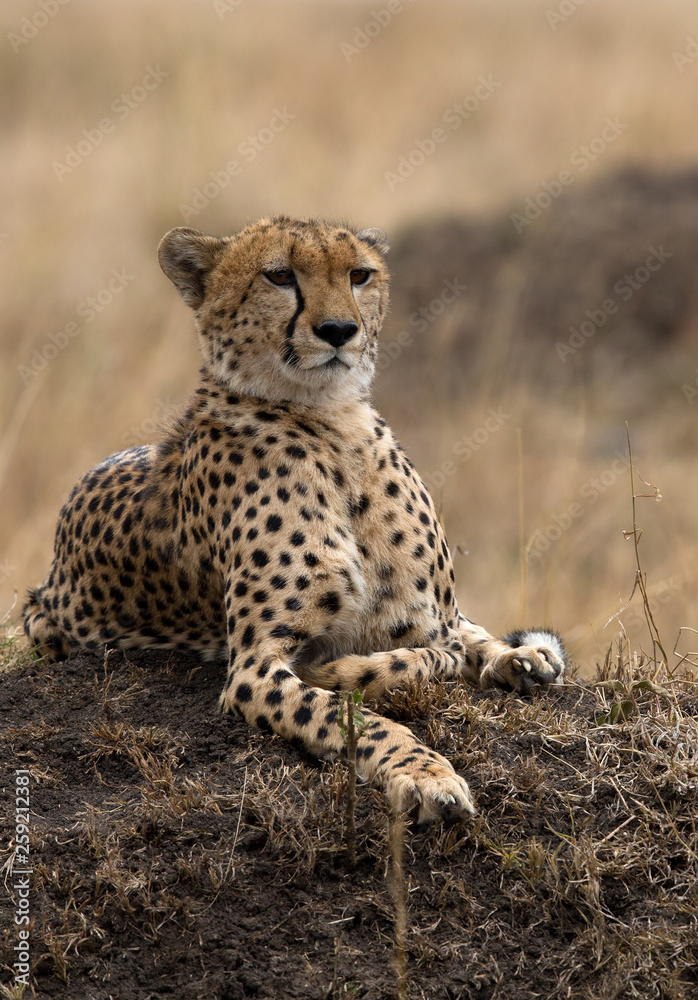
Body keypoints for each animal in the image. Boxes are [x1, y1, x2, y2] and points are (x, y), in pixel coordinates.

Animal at [23, 216, 567, 824]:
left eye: (360, 275)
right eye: (280, 276)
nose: (338, 330)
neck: (332, 420)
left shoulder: (426, 620)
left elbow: (436, 649)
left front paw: (505, 657)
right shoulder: (253, 671)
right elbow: (354, 713)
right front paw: (425, 773)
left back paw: (523, 655)